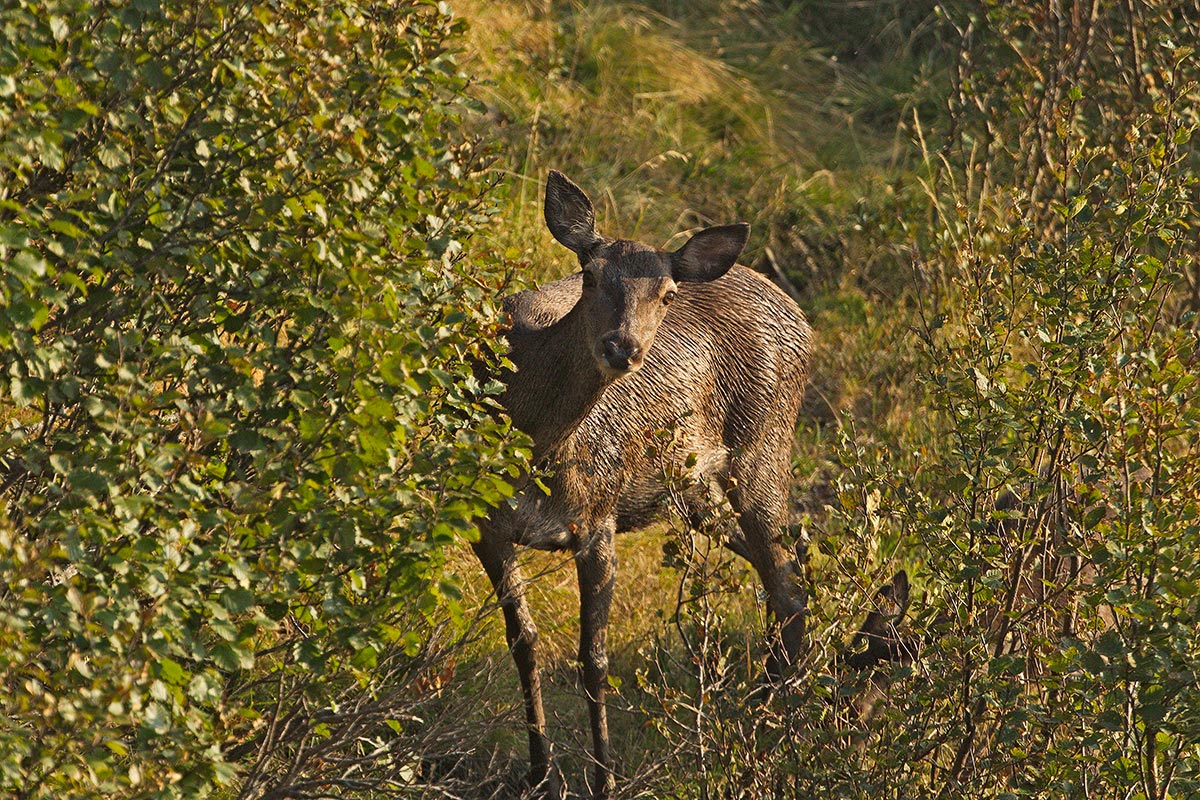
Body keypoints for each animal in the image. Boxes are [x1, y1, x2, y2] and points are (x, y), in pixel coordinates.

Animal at [473, 170, 813, 798]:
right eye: (589, 275)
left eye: (667, 294)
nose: (621, 346)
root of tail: (793, 310)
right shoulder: (483, 524)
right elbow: (523, 643)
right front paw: (538, 773)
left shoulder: (597, 519)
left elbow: (594, 660)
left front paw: (605, 780)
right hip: (697, 492)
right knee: (787, 562)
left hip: (764, 448)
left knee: (786, 583)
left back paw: (771, 726)